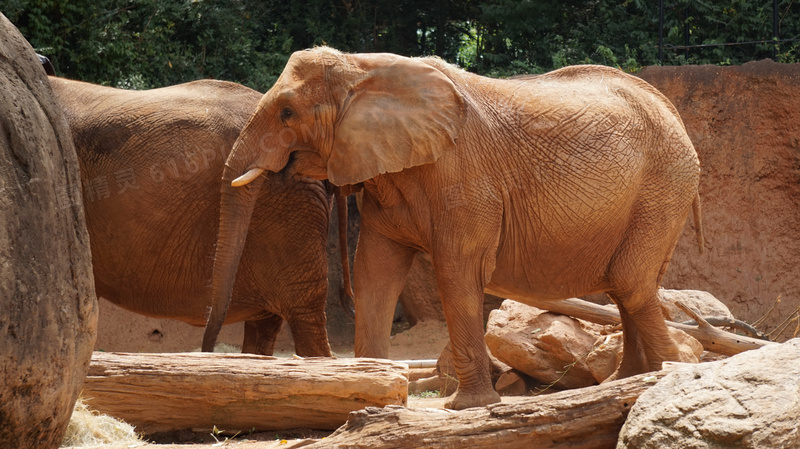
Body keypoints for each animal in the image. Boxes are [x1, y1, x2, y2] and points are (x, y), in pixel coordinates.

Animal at [209, 47, 704, 408]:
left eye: (287, 113)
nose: (209, 348)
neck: (364, 67)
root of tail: (672, 111)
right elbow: (375, 273)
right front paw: (367, 395)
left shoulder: (465, 176)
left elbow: (456, 271)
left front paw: (467, 407)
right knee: (630, 286)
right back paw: (624, 382)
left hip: (663, 186)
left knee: (630, 282)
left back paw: (663, 375)